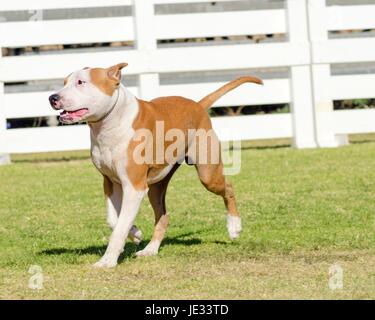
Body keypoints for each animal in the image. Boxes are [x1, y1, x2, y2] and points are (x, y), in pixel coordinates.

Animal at [48, 62, 262, 268]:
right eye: (65, 82)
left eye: (81, 82)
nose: (52, 97)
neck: (111, 123)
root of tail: (198, 106)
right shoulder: (110, 182)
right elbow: (114, 220)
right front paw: (135, 232)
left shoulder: (134, 186)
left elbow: (119, 227)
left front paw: (107, 261)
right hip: (156, 186)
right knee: (163, 216)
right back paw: (150, 249)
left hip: (208, 174)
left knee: (228, 188)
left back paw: (234, 227)